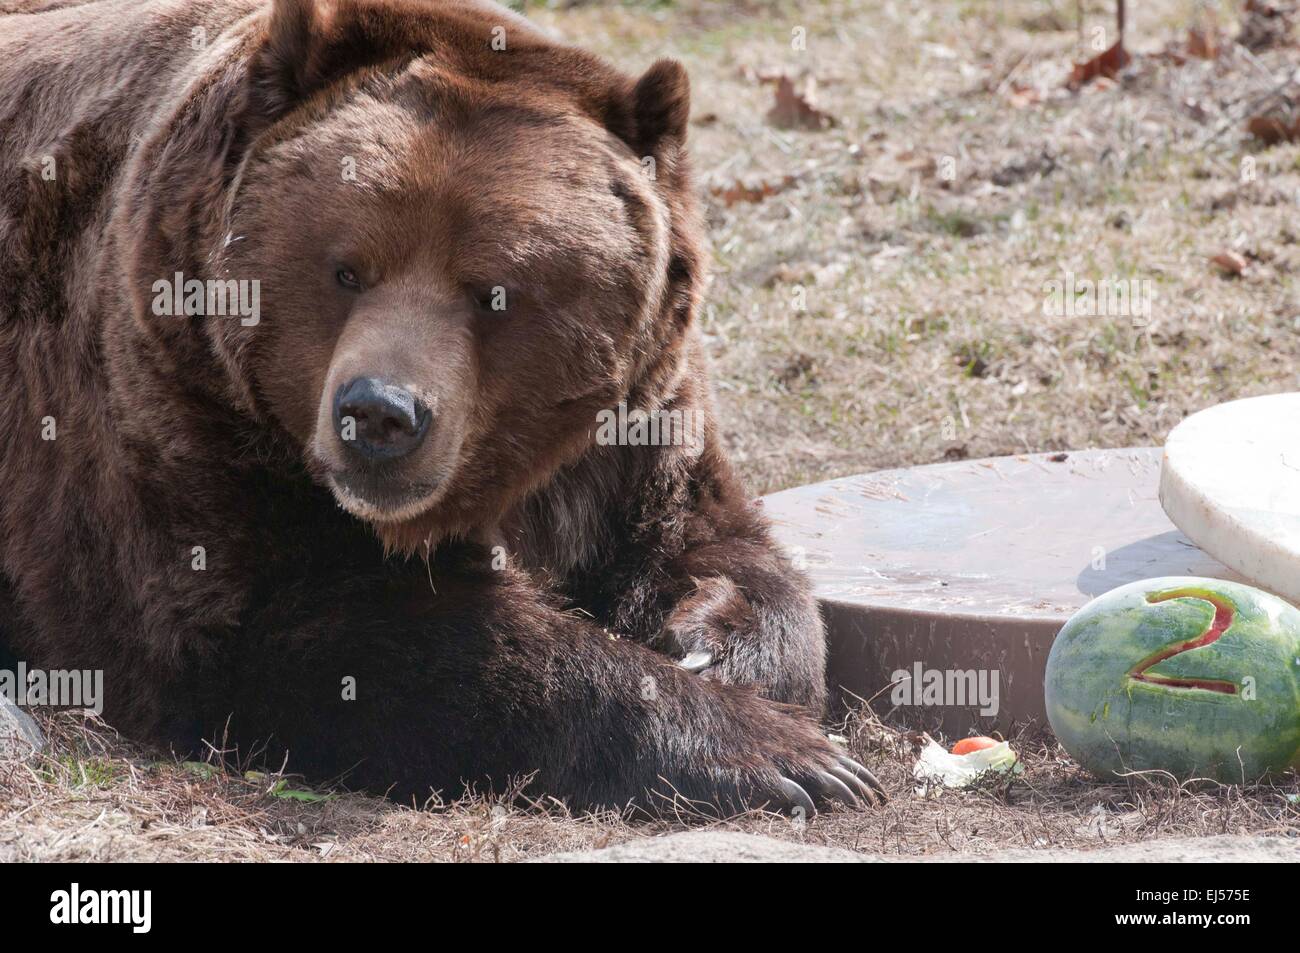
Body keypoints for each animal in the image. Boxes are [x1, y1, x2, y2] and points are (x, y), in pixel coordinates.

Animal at [0, 0, 882, 814]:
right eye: (346, 269)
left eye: (494, 289)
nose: (379, 415)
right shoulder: (182, 410)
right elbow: (317, 634)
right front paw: (780, 756)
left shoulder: (635, 426)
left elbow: (722, 544)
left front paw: (712, 647)